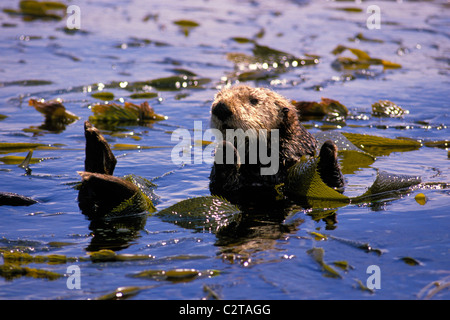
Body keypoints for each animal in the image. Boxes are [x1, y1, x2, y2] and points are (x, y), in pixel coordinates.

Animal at [209, 84, 342, 201]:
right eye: (218, 96)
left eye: (254, 100)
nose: (221, 107)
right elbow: (221, 187)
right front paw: (225, 151)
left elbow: (334, 186)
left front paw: (329, 150)